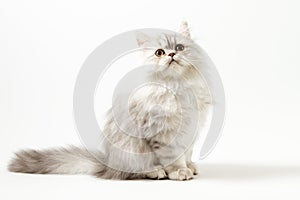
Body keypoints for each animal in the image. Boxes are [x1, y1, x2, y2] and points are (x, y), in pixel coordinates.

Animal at [8, 21, 212, 180]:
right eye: (159, 53)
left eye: (179, 48)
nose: (171, 55)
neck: (178, 86)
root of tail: (107, 163)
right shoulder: (165, 133)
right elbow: (174, 158)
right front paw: (179, 172)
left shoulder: (192, 129)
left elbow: (187, 153)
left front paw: (189, 167)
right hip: (133, 152)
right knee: (135, 171)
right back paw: (156, 171)